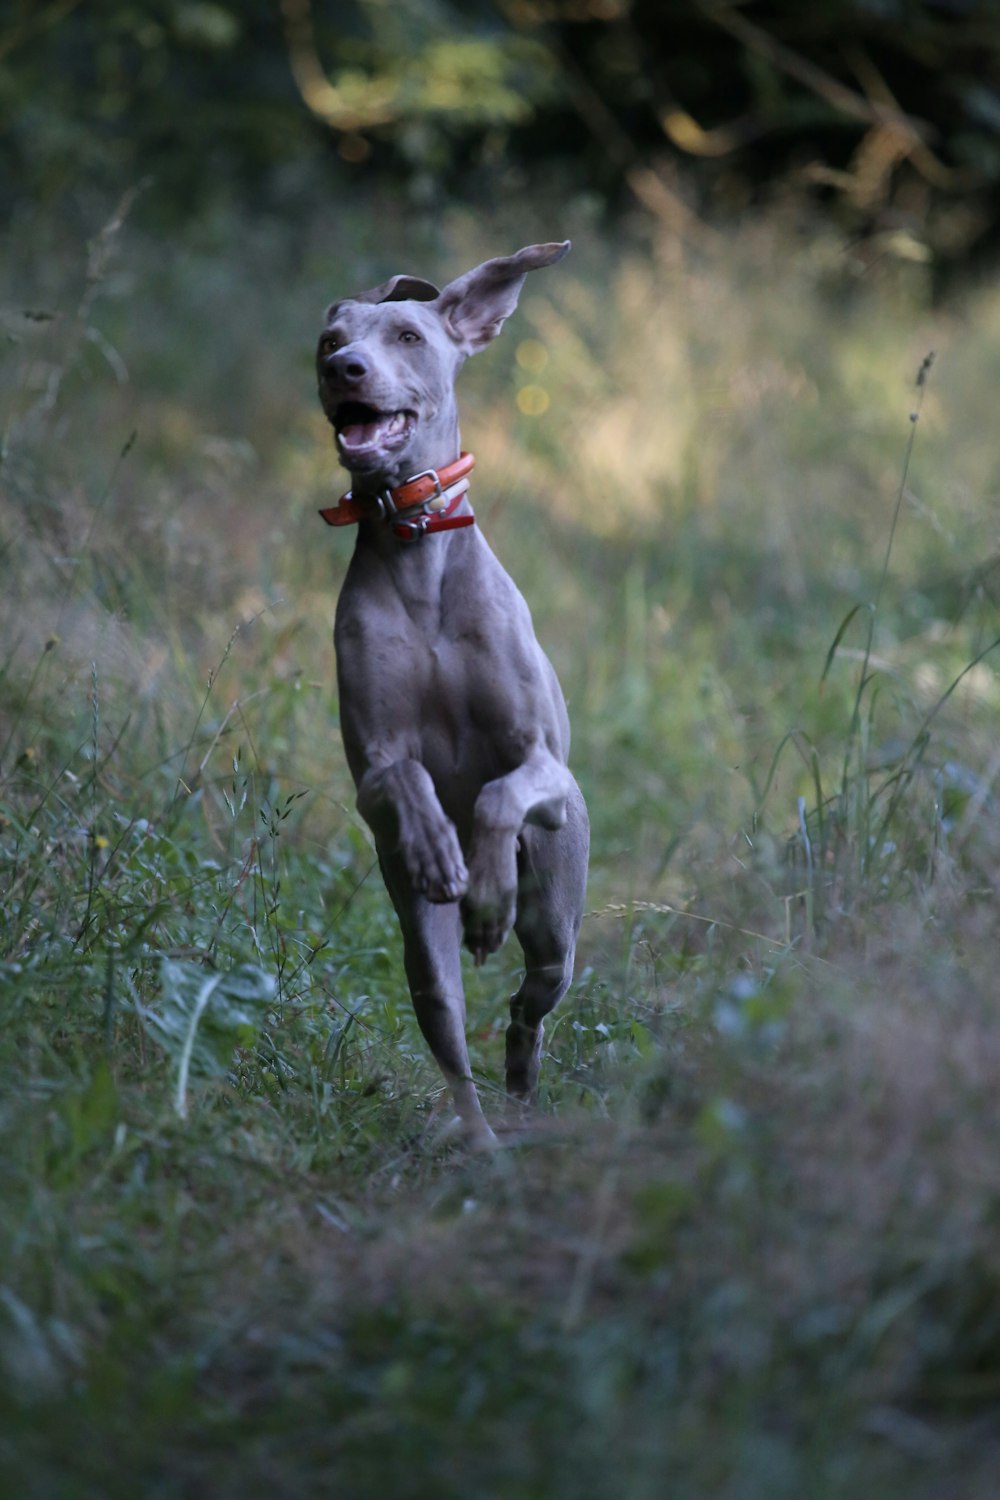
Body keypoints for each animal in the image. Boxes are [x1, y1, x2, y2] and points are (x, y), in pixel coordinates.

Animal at [316, 243, 590, 1146]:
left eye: (407, 334)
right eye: (330, 338)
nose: (344, 368)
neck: (416, 543)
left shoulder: (547, 767)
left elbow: (502, 792)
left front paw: (486, 883)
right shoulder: (371, 769)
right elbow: (403, 777)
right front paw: (442, 848)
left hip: (558, 909)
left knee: (535, 993)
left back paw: (521, 1063)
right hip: (418, 951)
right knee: (450, 1024)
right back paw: (480, 1143)